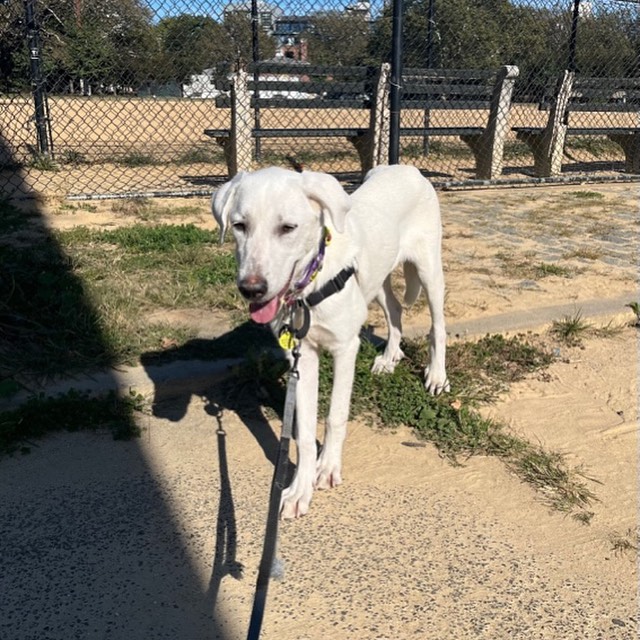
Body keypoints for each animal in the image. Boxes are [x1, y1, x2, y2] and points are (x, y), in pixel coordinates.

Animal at [212, 162, 448, 516]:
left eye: (288, 227)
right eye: (240, 226)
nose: (251, 289)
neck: (310, 284)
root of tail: (406, 167)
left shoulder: (345, 349)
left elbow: (335, 416)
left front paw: (328, 468)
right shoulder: (303, 356)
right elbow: (305, 431)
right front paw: (300, 488)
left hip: (429, 269)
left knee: (439, 326)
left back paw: (436, 375)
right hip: (377, 279)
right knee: (394, 310)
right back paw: (389, 358)